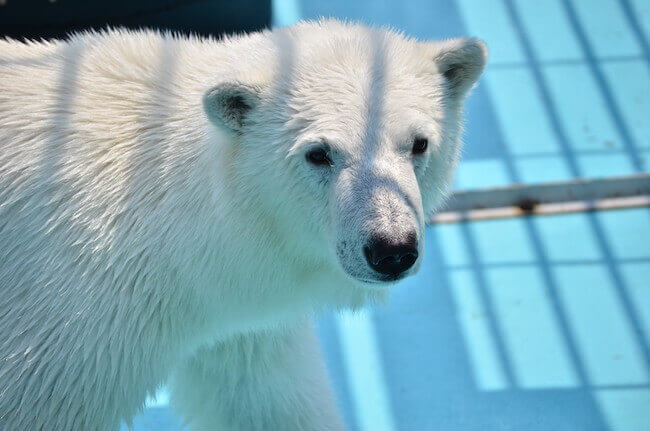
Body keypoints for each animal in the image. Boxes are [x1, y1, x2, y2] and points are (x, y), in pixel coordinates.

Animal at [0, 20, 484, 431]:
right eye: (319, 153)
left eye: (419, 143)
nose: (392, 249)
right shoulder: (73, 316)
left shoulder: (236, 318)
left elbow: (262, 396)